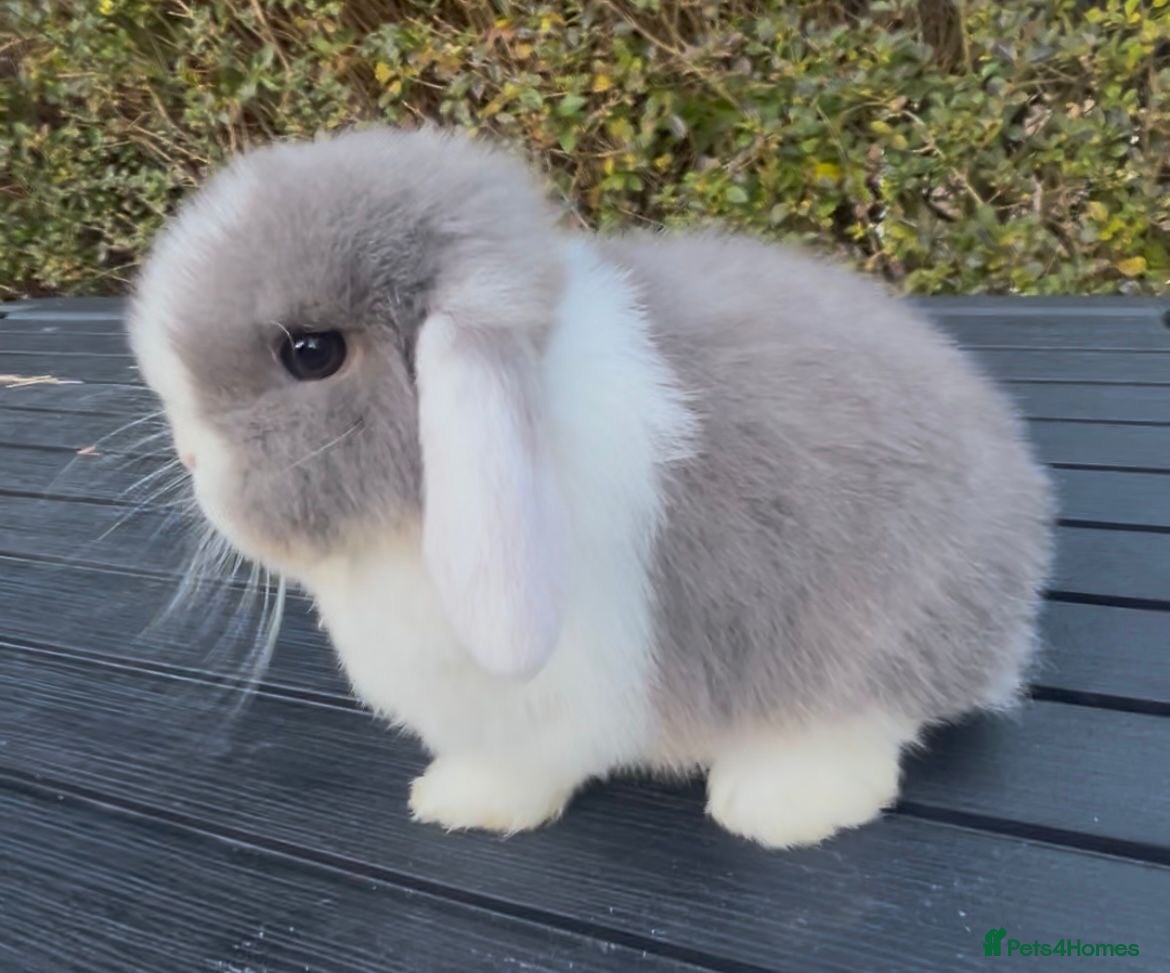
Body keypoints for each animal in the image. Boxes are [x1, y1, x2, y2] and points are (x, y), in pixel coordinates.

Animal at [127, 125, 1054, 849]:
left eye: (310, 352)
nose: (191, 456)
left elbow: (530, 761)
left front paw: (463, 804)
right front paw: (446, 794)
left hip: (875, 633)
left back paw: (776, 803)